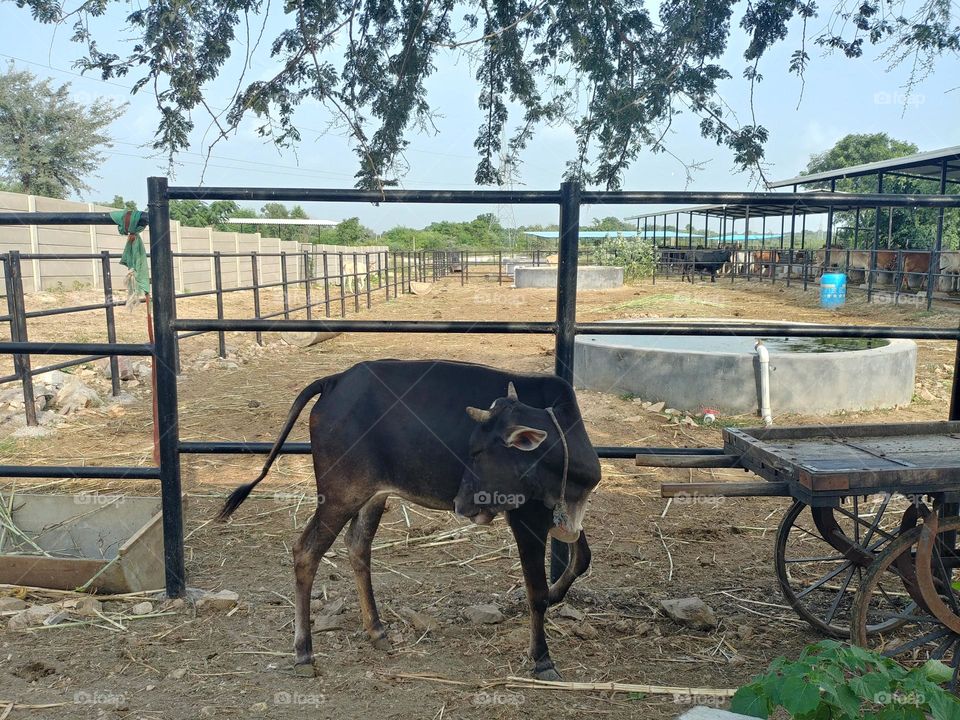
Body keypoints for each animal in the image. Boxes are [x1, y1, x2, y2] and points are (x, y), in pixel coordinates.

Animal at [216, 360, 601, 681]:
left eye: (479, 453)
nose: (461, 503)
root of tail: (336, 380)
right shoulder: (526, 517)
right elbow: (536, 591)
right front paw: (542, 659)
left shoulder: (565, 513)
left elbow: (582, 558)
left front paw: (557, 594)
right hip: (340, 493)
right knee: (306, 551)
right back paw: (304, 653)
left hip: (372, 495)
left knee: (357, 547)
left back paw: (377, 630)